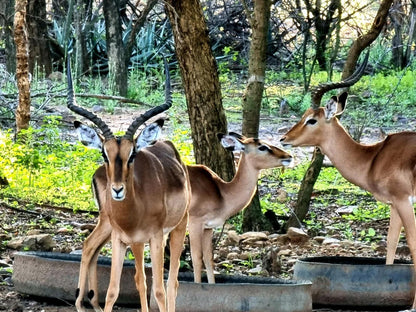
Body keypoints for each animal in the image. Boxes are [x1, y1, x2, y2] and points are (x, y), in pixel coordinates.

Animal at [69, 58, 191, 312]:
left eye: (132, 154)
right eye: (104, 154)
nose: (117, 190)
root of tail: (167, 145)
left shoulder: (155, 238)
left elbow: (159, 290)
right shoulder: (121, 240)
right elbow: (115, 291)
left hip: (177, 229)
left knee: (171, 283)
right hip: (129, 238)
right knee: (131, 274)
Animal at [188, 133, 292, 284]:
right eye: (262, 147)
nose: (288, 156)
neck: (222, 193)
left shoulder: (208, 228)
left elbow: (208, 259)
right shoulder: (195, 224)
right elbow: (196, 258)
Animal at [278, 50, 416, 308]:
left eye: (312, 119)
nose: (284, 139)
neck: (374, 157)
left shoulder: (404, 201)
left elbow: (412, 243)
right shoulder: (395, 205)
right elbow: (391, 244)